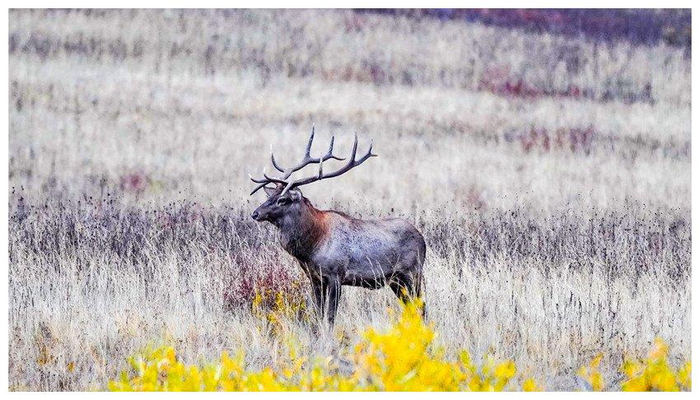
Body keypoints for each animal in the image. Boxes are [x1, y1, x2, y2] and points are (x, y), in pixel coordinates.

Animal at [249, 127, 426, 326]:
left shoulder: (336, 275)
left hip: (412, 272)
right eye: (269, 196)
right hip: (396, 281)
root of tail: (422, 239)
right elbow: (318, 315)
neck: (311, 247)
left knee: (422, 307)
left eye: (282, 199)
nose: (255, 213)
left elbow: (330, 316)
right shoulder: (315, 278)